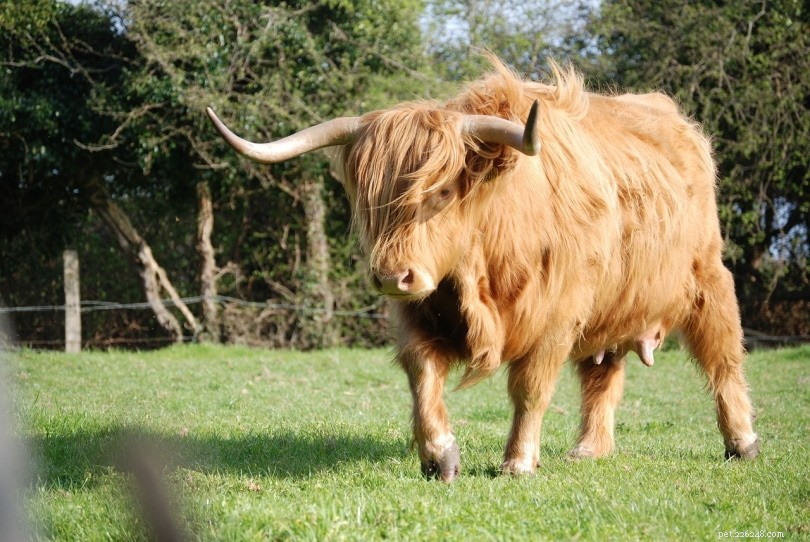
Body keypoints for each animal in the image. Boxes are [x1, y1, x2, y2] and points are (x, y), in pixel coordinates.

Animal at [206, 57, 759, 482]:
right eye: (367, 197)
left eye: (443, 190)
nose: (392, 276)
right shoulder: (417, 314)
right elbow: (422, 376)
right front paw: (439, 456)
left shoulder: (556, 316)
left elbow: (530, 388)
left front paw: (518, 462)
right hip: (613, 306)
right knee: (603, 373)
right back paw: (589, 450)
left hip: (708, 279)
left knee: (722, 358)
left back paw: (743, 442)